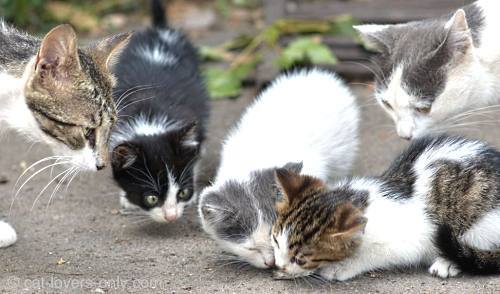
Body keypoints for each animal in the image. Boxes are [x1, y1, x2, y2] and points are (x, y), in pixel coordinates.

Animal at [110, 0, 208, 222]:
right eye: (152, 198)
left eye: (182, 192)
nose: (171, 217)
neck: (149, 117)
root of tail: (159, 31)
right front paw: (126, 198)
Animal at [272, 134, 500, 282]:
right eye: (275, 241)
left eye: (300, 259)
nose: (279, 266)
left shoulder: (413, 239)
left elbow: (376, 254)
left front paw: (342, 266)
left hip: (480, 221)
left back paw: (447, 263)